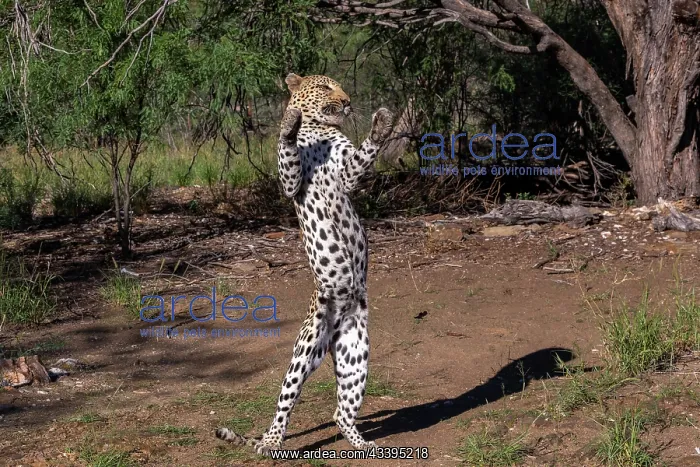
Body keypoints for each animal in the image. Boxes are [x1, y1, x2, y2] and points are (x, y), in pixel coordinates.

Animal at [215, 73, 394, 455]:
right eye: (327, 87)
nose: (347, 101)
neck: (319, 128)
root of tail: (334, 330)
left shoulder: (347, 170)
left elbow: (363, 155)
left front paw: (383, 123)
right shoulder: (290, 182)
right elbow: (287, 153)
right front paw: (288, 124)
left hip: (356, 354)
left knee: (341, 412)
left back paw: (363, 444)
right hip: (305, 347)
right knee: (285, 401)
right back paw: (269, 443)